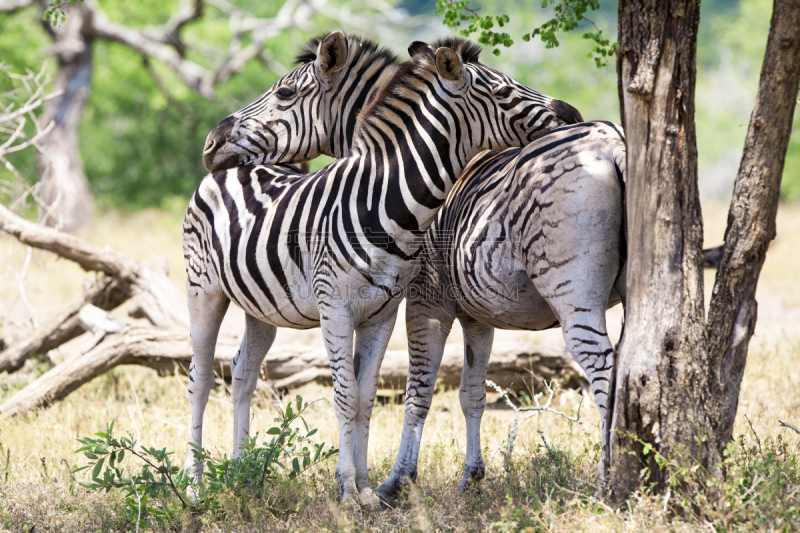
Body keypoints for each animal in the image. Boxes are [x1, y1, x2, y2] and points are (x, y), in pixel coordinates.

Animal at [184, 33, 580, 508]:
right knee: (202, 378)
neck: (383, 201)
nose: (211, 143)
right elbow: (358, 393)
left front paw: (367, 489)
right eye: (504, 91)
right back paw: (196, 487)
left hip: (262, 307)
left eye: (284, 93)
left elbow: (368, 395)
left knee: (242, 374)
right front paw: (358, 488)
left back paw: (241, 477)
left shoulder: (385, 311)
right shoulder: (350, 307)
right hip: (204, 292)